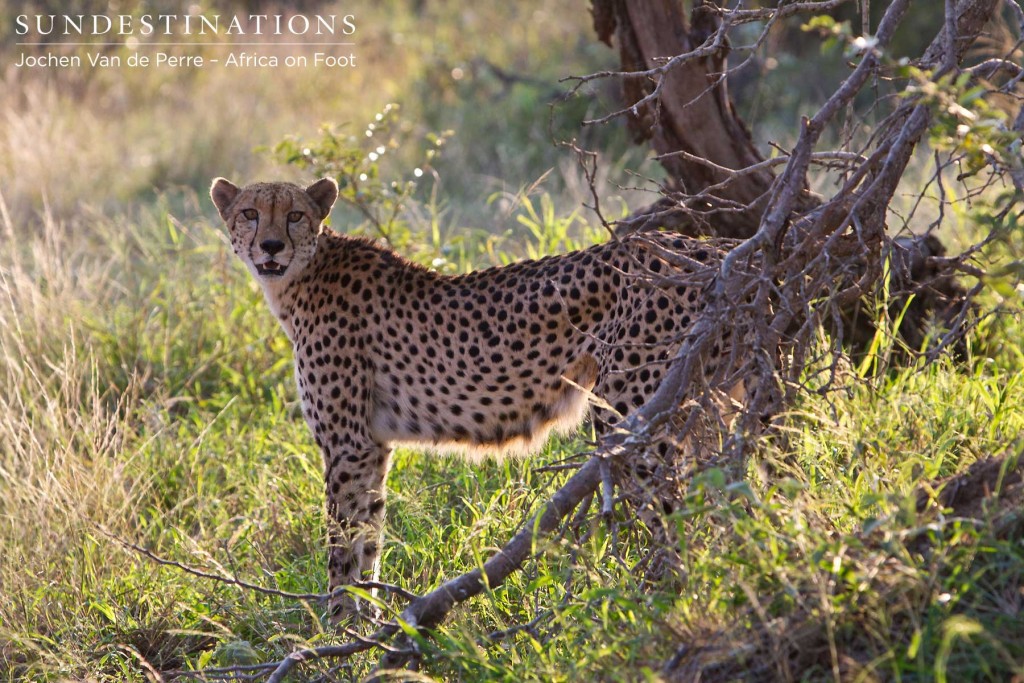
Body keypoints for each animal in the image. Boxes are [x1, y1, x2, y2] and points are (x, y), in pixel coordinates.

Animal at [209, 176, 737, 618]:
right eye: (250, 213)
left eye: (295, 214)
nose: (271, 245)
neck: (301, 276)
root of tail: (705, 246)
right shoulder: (372, 447)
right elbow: (369, 539)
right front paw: (367, 624)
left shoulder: (347, 445)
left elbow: (342, 546)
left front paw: (335, 631)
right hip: (714, 407)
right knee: (734, 498)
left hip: (634, 419)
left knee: (677, 520)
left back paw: (664, 607)